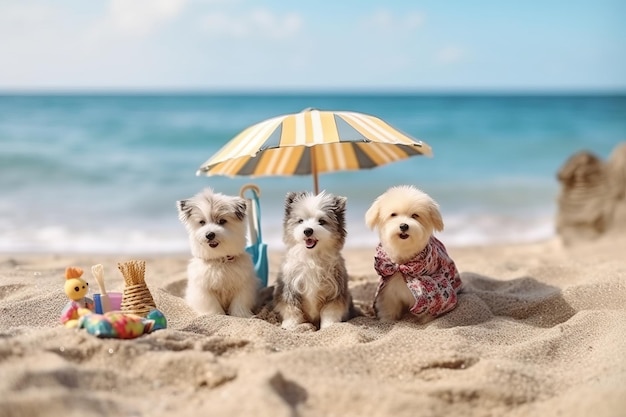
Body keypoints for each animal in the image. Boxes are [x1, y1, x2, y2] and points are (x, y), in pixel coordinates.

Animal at [174, 187, 258, 316]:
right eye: (202, 222)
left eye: (222, 221)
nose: (209, 235)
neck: (220, 259)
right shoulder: (204, 290)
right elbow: (212, 304)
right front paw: (215, 315)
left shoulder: (243, 286)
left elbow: (239, 303)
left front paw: (241, 315)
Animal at [272, 190, 352, 330]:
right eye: (300, 221)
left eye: (322, 221)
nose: (308, 230)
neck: (312, 257)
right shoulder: (289, 288)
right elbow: (292, 309)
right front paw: (291, 325)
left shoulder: (335, 291)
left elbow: (329, 311)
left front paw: (329, 326)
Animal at [364, 186, 460, 322]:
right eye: (393, 214)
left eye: (415, 215)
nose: (404, 226)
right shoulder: (388, 293)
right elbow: (388, 308)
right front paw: (387, 320)